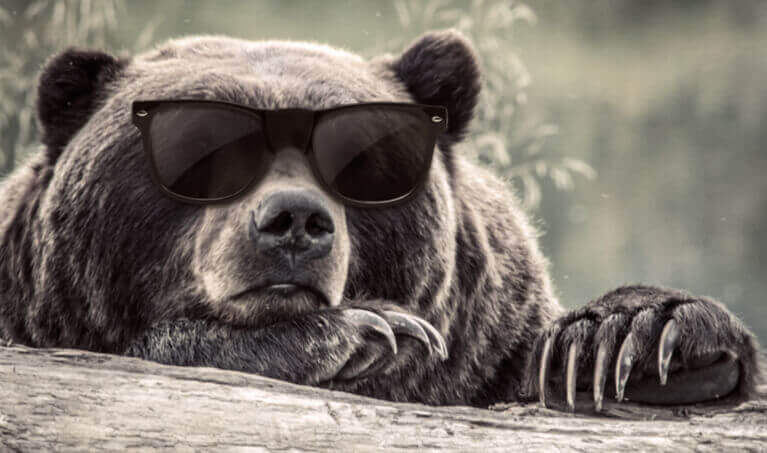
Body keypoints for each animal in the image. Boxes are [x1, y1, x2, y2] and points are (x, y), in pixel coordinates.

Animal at [0, 30, 762, 410]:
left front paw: (629, 338)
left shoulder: (490, 341)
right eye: (202, 147)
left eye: (359, 156)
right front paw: (369, 331)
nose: (294, 221)